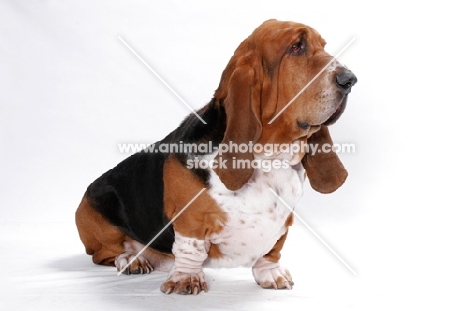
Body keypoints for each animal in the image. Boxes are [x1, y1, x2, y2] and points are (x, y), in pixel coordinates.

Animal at [75, 19, 356, 294]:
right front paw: (186, 278)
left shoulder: (284, 221)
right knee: (105, 254)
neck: (270, 159)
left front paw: (271, 274)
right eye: (297, 47)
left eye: (323, 46)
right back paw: (131, 260)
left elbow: (272, 251)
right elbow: (190, 249)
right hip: (97, 222)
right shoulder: (191, 221)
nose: (350, 79)